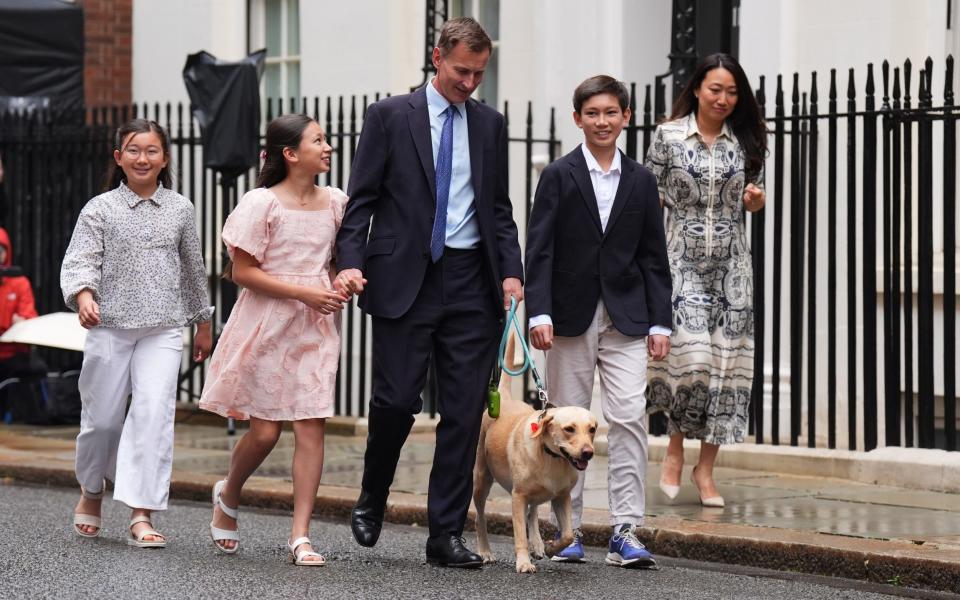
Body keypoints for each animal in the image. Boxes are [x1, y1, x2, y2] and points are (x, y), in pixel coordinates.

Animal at [470, 332, 596, 572]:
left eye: (592, 429)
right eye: (569, 429)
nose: (588, 453)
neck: (550, 456)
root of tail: (505, 397)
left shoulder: (562, 496)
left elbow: (567, 534)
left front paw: (551, 547)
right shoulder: (517, 496)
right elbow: (519, 533)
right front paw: (523, 562)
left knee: (534, 510)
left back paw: (537, 544)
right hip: (481, 481)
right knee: (480, 517)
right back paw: (485, 551)